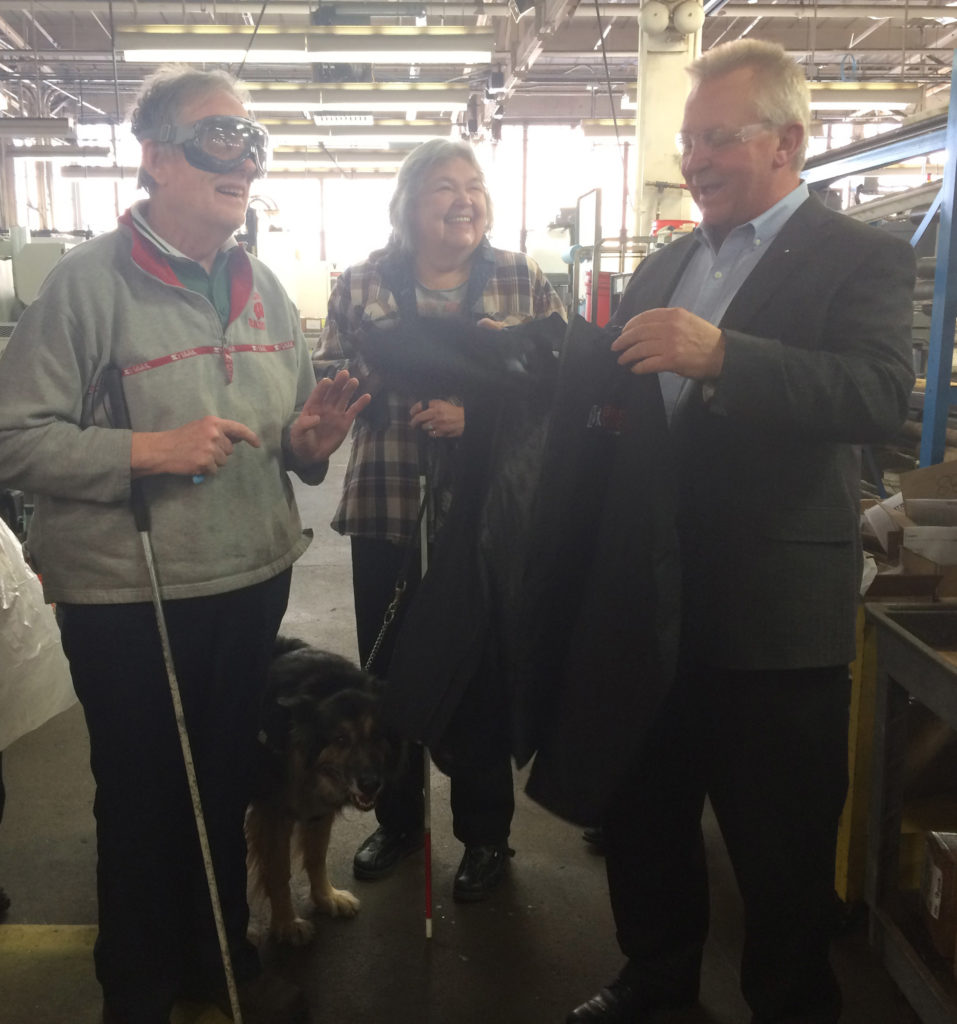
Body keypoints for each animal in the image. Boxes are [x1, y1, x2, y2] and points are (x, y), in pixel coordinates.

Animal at [246, 634, 401, 946]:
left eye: (376, 735)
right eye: (340, 739)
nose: (371, 784)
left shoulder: (318, 808)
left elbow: (316, 857)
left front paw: (326, 898)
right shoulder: (273, 815)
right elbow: (278, 871)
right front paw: (286, 923)